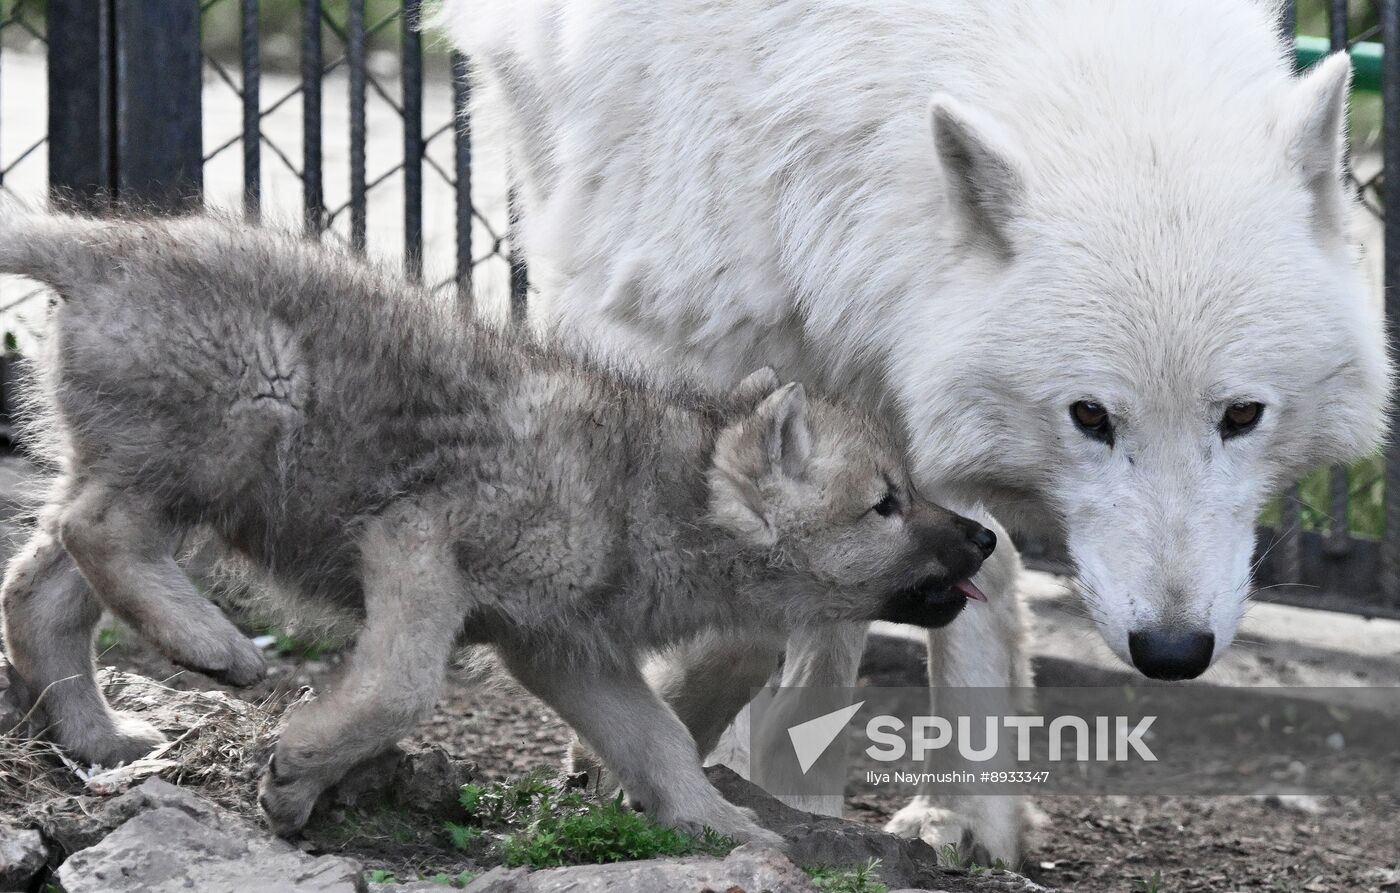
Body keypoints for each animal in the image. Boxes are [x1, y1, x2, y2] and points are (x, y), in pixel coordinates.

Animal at [0, 211, 1001, 844]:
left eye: (909, 490)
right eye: (885, 503)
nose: (988, 540)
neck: (638, 492)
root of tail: (106, 245)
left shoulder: (564, 649)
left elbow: (660, 741)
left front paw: (718, 825)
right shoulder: (415, 543)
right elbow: (402, 688)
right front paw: (301, 769)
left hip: (166, 479)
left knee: (41, 584)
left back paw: (98, 737)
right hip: (236, 430)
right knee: (94, 528)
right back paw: (212, 643)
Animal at [437, 0, 1392, 861]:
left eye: (1241, 415)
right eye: (1090, 414)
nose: (1173, 649)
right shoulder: (677, 339)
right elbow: (740, 609)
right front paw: (647, 758)